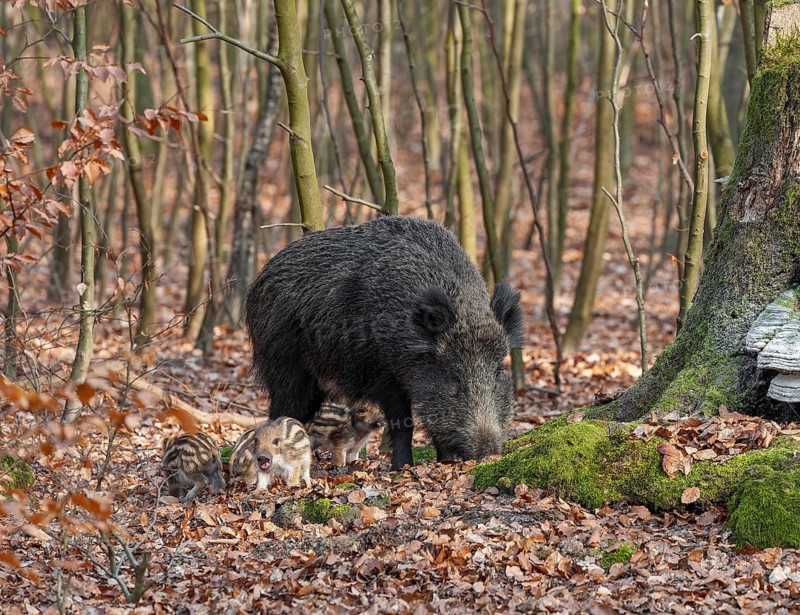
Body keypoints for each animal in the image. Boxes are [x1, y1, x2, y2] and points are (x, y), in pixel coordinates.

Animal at [245, 216, 523, 470]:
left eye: (497, 373)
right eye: (455, 378)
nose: (488, 453)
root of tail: (259, 280)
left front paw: (444, 461)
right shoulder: (384, 377)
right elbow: (403, 424)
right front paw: (402, 467)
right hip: (285, 368)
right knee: (281, 413)